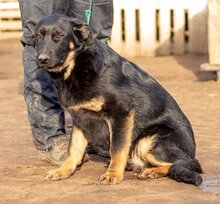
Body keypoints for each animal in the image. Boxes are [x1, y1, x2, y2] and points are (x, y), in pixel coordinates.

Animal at [34, 13, 203, 186]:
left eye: (59, 36)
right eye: (39, 36)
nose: (41, 59)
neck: (77, 66)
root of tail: (191, 152)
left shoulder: (120, 114)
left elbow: (117, 148)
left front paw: (113, 174)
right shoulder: (80, 119)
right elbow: (73, 149)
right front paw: (63, 170)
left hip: (148, 140)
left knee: (186, 164)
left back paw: (152, 171)